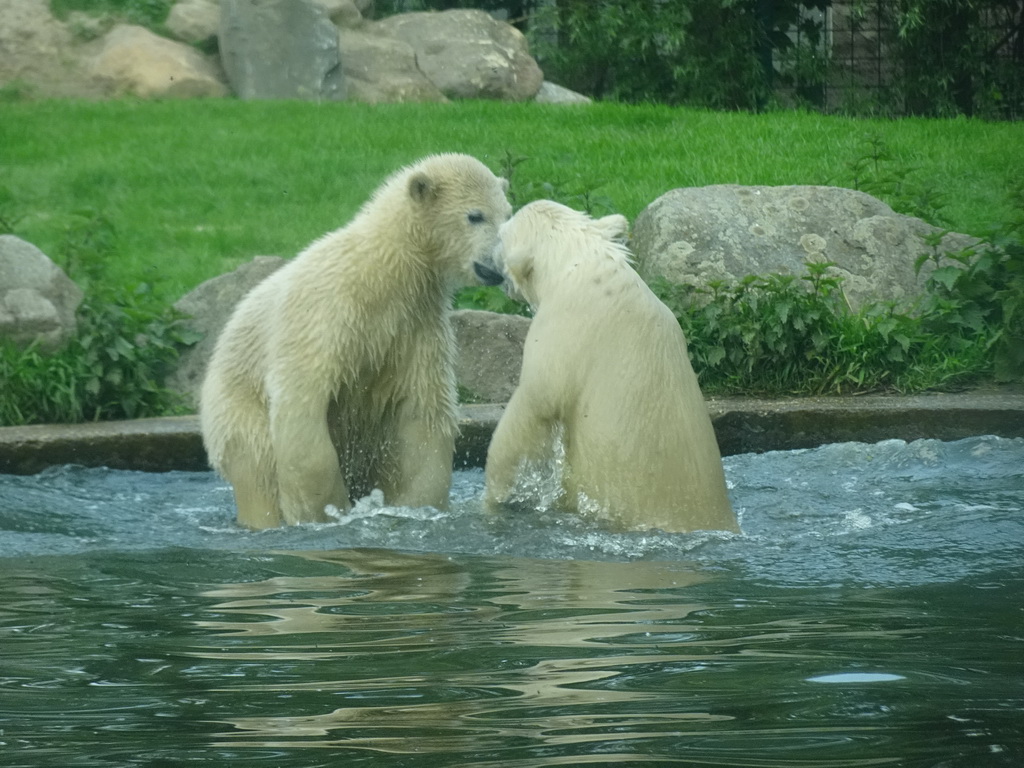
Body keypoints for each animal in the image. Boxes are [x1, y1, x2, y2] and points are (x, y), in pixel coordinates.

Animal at [201, 153, 512, 532]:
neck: (381, 272)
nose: (500, 265)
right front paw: (326, 513)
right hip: (239, 410)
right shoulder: (329, 316)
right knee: (257, 469)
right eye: (475, 215)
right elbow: (302, 407)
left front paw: (417, 507)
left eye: (508, 214)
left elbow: (421, 415)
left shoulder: (414, 327)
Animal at [483, 199, 741, 536]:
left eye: (501, 233)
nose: (488, 259)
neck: (582, 266)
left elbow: (534, 406)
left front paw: (493, 497)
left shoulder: (562, 335)